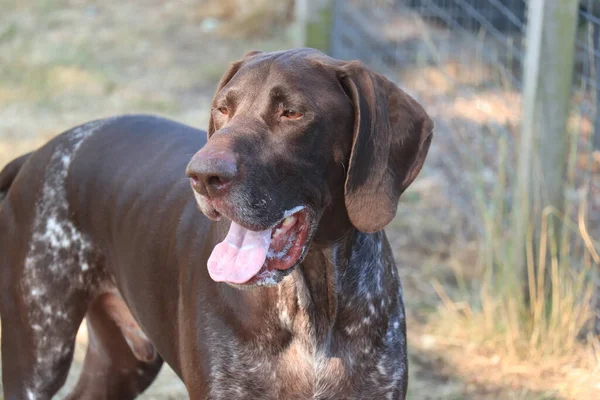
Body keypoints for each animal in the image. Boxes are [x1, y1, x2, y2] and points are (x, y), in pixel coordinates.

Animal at [0, 48, 432, 398]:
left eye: (292, 112)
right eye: (222, 109)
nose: (202, 175)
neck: (310, 310)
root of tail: (37, 153)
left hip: (123, 362)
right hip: (38, 360)